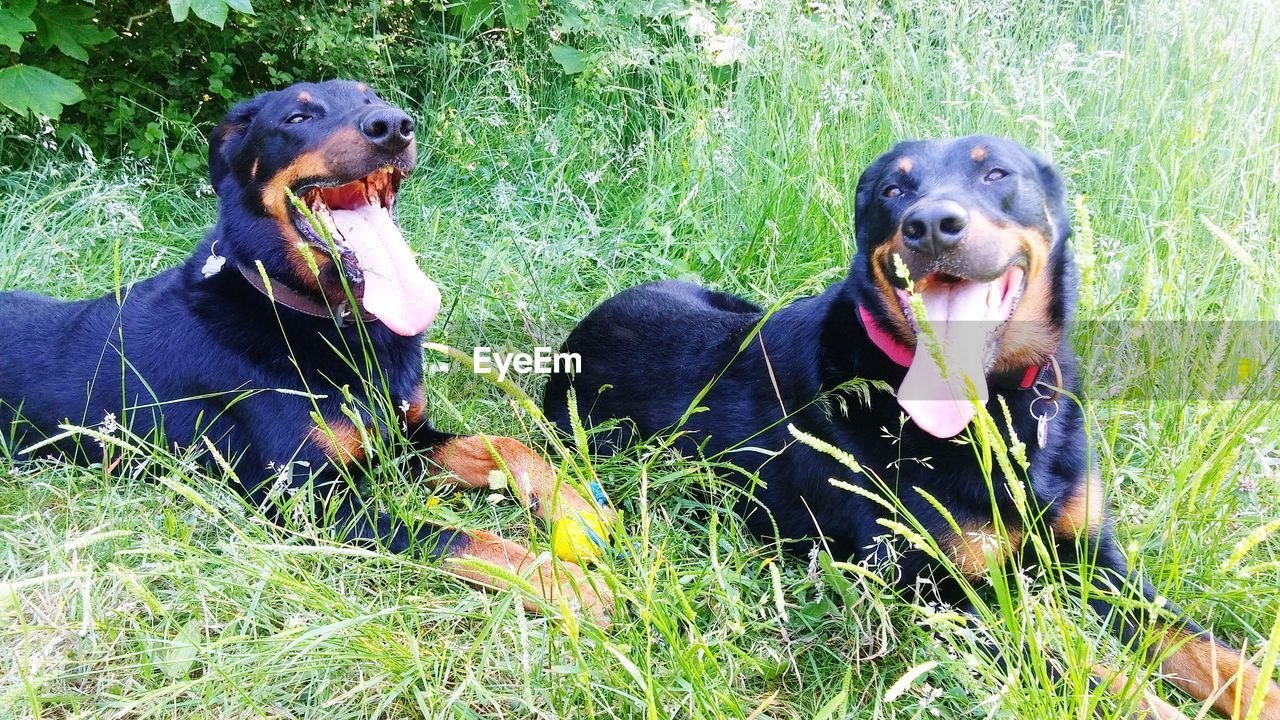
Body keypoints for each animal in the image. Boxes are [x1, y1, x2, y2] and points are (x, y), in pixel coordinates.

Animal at [1, 82, 609, 622]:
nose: (394, 125)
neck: (328, 321)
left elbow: (505, 446)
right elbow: (456, 538)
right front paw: (563, 582)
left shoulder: (399, 438)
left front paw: (578, 508)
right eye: (296, 118)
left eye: (372, 98)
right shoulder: (307, 503)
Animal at [547, 135, 1280, 717]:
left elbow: (1208, 650)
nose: (930, 225)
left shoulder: (1096, 559)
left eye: (996, 173)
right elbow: (1092, 674)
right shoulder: (943, 596)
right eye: (893, 189)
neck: (998, 413)